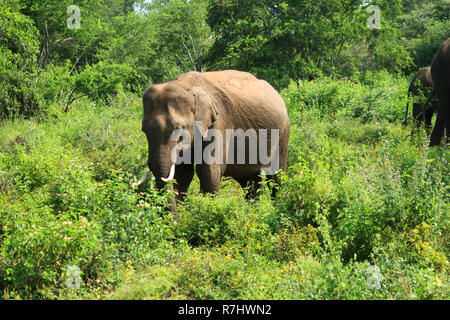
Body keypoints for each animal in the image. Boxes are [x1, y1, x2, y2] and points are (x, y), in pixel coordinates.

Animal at [137, 70, 292, 220]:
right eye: (144, 130)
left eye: (178, 129)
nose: (175, 224)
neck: (188, 87)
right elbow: (182, 175)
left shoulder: (220, 121)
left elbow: (209, 171)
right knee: (250, 183)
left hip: (283, 133)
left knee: (276, 178)